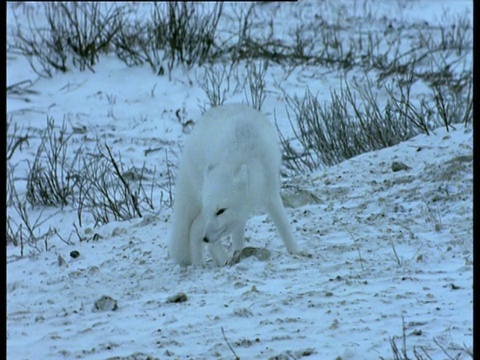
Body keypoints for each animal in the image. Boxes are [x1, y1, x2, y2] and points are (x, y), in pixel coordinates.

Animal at [167, 102, 298, 266]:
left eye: (221, 211)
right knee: (198, 232)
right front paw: (237, 258)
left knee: (198, 231)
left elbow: (283, 225)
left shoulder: (270, 191)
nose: (206, 238)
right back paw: (209, 263)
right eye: (214, 210)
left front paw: (296, 251)